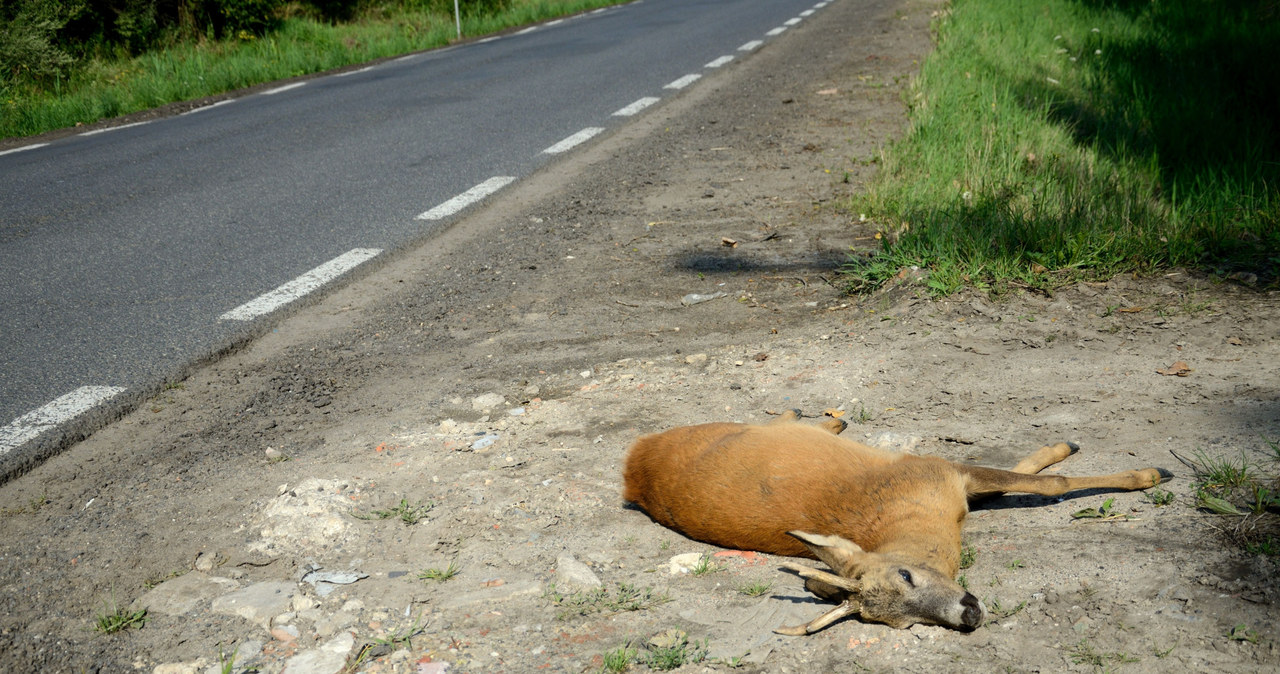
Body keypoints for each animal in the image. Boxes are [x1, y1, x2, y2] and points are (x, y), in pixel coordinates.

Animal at [619, 409, 1172, 636]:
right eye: (905, 622)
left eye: (907, 574)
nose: (968, 613)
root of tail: (632, 465)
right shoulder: (941, 476)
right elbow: (1023, 483)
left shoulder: (935, 468)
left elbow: (1043, 483)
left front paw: (1150, 472)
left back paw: (826, 419)